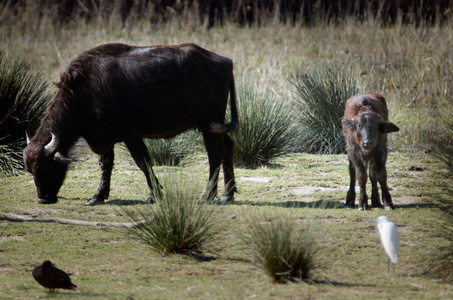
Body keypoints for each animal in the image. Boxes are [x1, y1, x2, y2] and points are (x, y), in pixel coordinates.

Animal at [23, 42, 238, 205]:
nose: (43, 199)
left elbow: (142, 162)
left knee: (215, 155)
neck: (86, 92)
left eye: (45, 168)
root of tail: (225, 61)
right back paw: (228, 193)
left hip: (209, 123)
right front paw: (98, 196)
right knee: (228, 146)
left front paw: (155, 195)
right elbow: (105, 165)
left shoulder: (131, 134)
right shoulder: (104, 137)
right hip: (212, 125)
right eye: (30, 170)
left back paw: (208, 195)